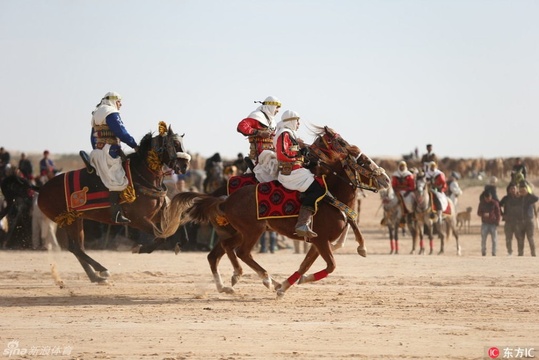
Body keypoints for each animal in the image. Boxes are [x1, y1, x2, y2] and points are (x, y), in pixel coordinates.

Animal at [38, 122, 191, 282]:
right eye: (175, 144)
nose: (185, 166)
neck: (142, 177)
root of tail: (41, 190)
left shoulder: (158, 215)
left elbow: (177, 229)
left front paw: (179, 243)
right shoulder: (138, 220)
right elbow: (162, 236)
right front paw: (140, 248)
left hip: (75, 220)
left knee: (76, 248)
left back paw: (95, 276)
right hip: (68, 221)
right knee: (75, 248)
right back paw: (101, 270)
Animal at [172, 128, 388, 296]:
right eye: (363, 162)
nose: (385, 178)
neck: (330, 198)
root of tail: (225, 199)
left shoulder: (318, 242)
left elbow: (305, 265)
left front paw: (285, 286)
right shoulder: (321, 240)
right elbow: (330, 266)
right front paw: (296, 281)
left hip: (238, 231)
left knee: (220, 252)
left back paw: (233, 283)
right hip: (253, 230)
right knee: (240, 252)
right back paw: (264, 279)